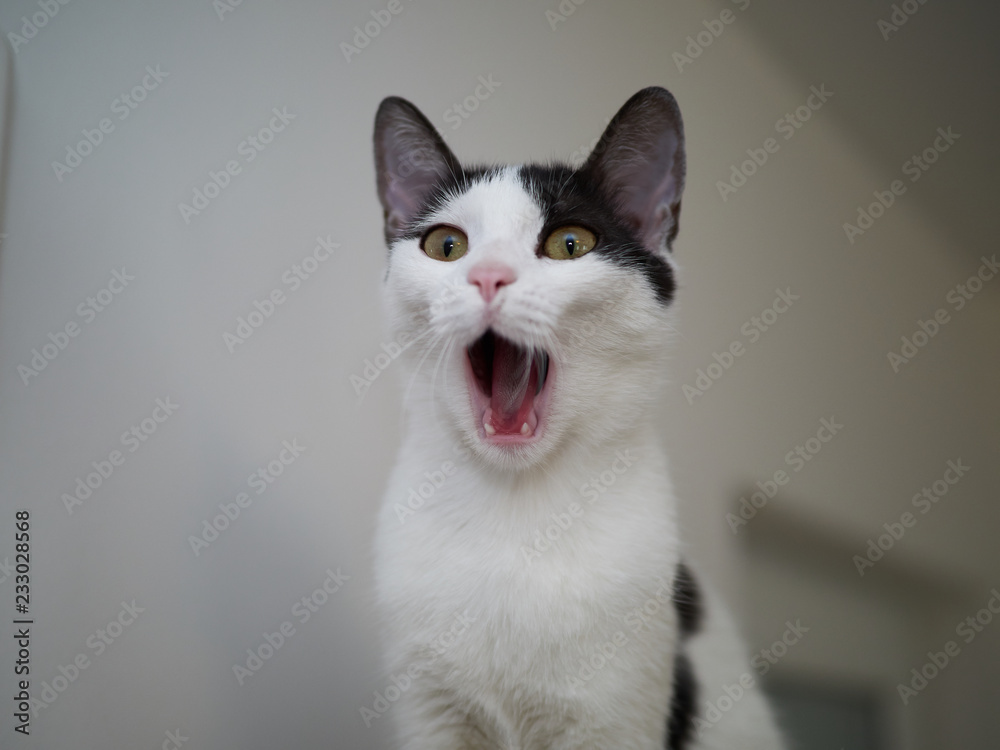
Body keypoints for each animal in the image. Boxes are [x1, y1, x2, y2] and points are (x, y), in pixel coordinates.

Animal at [372, 88, 784, 750]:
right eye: (445, 246)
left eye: (570, 244)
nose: (489, 277)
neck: (514, 517)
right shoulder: (429, 711)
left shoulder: (614, 718)